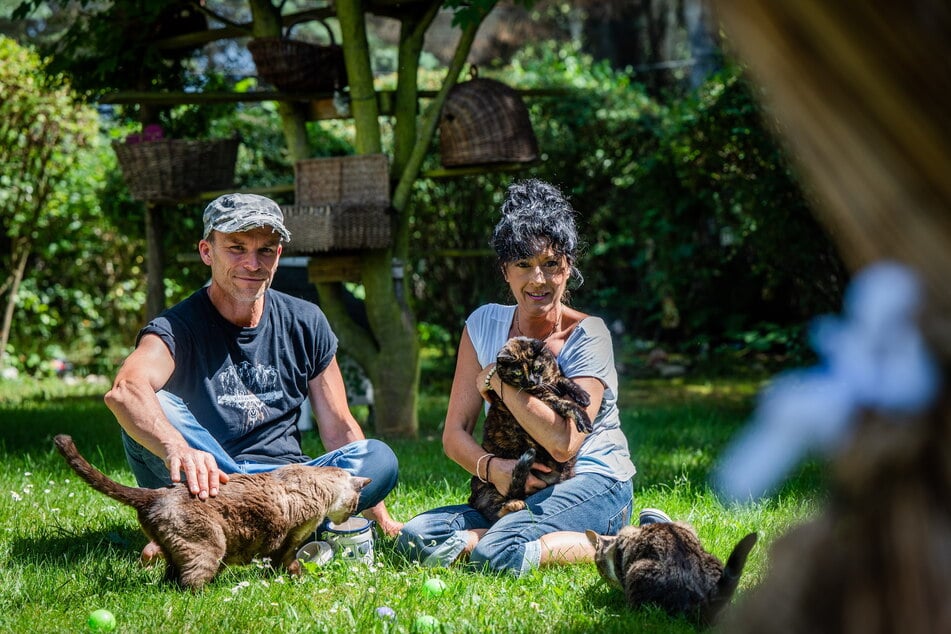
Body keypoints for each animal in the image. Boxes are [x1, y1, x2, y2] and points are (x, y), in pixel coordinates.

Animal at [54, 434, 370, 588]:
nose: (347, 517)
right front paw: (298, 578)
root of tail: (157, 493)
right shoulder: (287, 541)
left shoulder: (282, 544)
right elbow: (288, 564)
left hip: (175, 551)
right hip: (210, 546)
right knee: (190, 583)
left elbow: (278, 565)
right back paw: (209, 595)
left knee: (170, 579)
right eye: (355, 504)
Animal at [470, 336, 596, 520]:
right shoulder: (545, 397)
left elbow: (564, 379)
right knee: (495, 512)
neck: (544, 381)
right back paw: (515, 504)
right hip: (489, 492)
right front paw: (583, 419)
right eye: (517, 373)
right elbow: (566, 404)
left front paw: (582, 395)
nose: (531, 381)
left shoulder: (554, 378)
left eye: (536, 367)